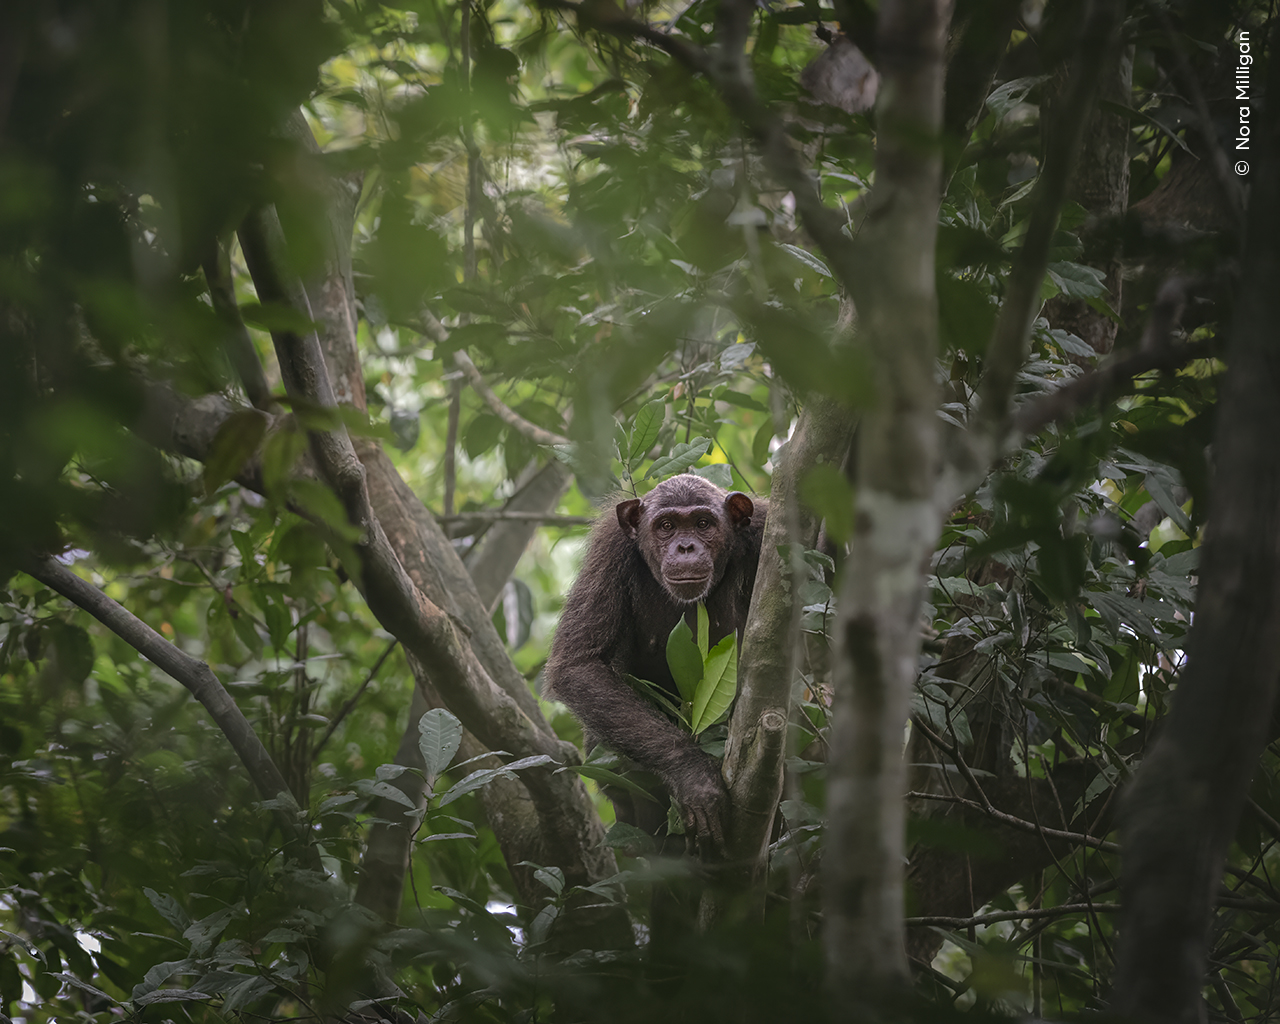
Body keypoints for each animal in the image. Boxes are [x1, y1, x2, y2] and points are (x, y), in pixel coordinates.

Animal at [545, 471, 762, 849]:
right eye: (666, 526)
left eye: (703, 523)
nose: (686, 547)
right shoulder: (609, 549)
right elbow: (578, 664)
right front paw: (693, 775)